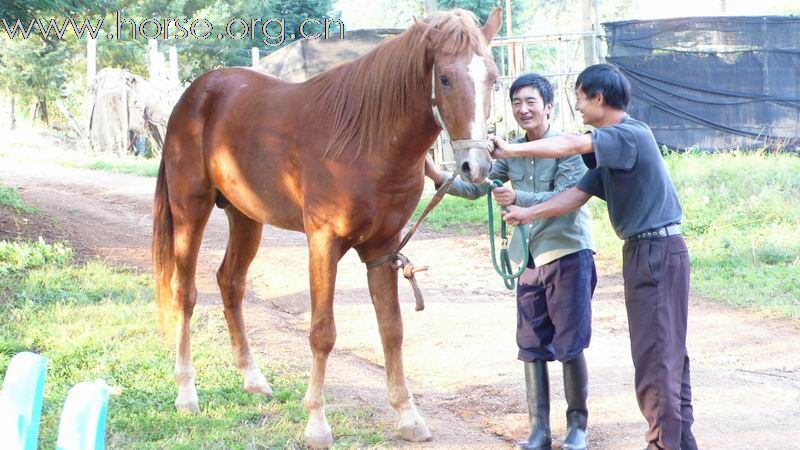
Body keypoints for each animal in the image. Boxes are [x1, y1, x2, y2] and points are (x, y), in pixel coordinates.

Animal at [152, 8, 500, 448]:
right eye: (446, 78)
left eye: (493, 78)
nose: (477, 167)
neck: (365, 141)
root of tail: (194, 96)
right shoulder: (323, 242)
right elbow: (322, 332)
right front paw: (316, 423)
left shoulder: (382, 250)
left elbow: (392, 330)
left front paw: (408, 416)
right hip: (190, 211)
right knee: (186, 293)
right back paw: (186, 392)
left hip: (246, 218)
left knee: (230, 283)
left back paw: (254, 380)